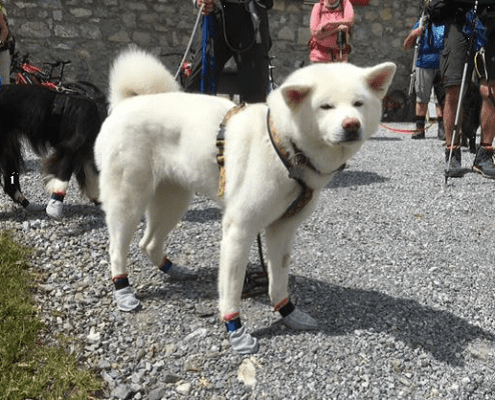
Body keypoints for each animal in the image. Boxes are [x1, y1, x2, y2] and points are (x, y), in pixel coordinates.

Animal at [0, 84, 107, 219]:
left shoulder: (85, 151)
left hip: (9, 144)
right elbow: (64, 173)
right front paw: (55, 206)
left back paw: (28, 204)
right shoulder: (72, 146)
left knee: (10, 183)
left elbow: (91, 176)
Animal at [95, 47, 398, 354]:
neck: (286, 146)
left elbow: (278, 280)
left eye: (358, 103)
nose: (352, 124)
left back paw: (173, 269)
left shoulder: (282, 230)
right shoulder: (239, 229)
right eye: (325, 107)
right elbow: (232, 287)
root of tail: (127, 102)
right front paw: (235, 330)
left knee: (148, 243)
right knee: (117, 249)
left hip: (173, 200)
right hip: (128, 201)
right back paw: (123, 291)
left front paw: (288, 312)